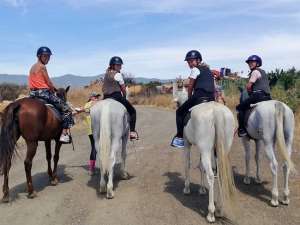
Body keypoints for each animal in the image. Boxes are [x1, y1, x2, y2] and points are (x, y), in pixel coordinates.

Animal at [173, 86, 237, 223]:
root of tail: (216, 112)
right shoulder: (202, 149)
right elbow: (201, 166)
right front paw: (202, 189)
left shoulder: (187, 144)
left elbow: (187, 164)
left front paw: (187, 188)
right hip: (220, 150)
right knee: (220, 174)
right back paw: (220, 209)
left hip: (206, 149)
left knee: (211, 176)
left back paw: (211, 213)